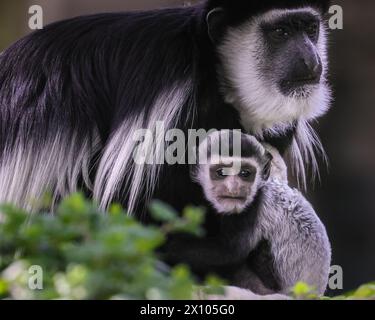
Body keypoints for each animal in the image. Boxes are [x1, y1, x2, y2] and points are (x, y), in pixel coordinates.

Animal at [164, 130, 332, 296]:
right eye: (221, 172)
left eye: (245, 173)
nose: (233, 188)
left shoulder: (251, 207)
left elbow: (230, 250)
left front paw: (169, 247)